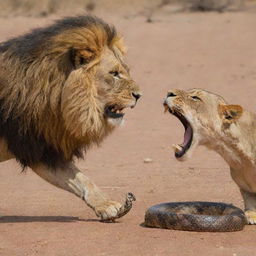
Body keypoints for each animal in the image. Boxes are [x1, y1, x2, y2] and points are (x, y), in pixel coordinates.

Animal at [0, 15, 141, 220]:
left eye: (125, 71)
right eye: (114, 74)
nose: (139, 95)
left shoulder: (43, 149)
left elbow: (80, 179)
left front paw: (107, 206)